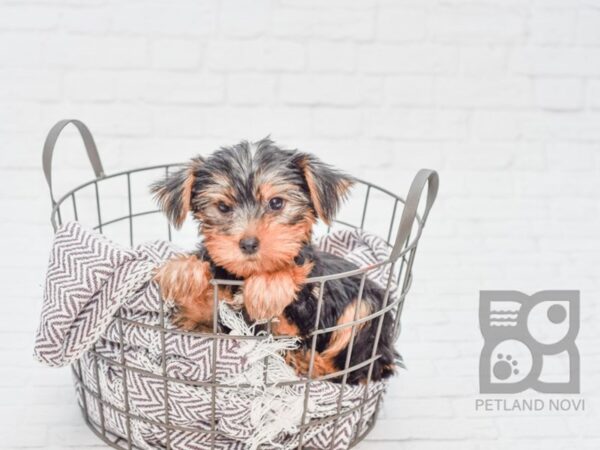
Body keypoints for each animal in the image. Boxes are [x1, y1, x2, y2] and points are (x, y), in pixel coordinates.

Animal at [150, 141, 396, 384]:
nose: (248, 243)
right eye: (223, 207)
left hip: (366, 311)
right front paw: (183, 271)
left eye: (276, 203)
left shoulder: (299, 318)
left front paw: (267, 287)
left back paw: (306, 362)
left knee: (352, 365)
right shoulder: (208, 319)